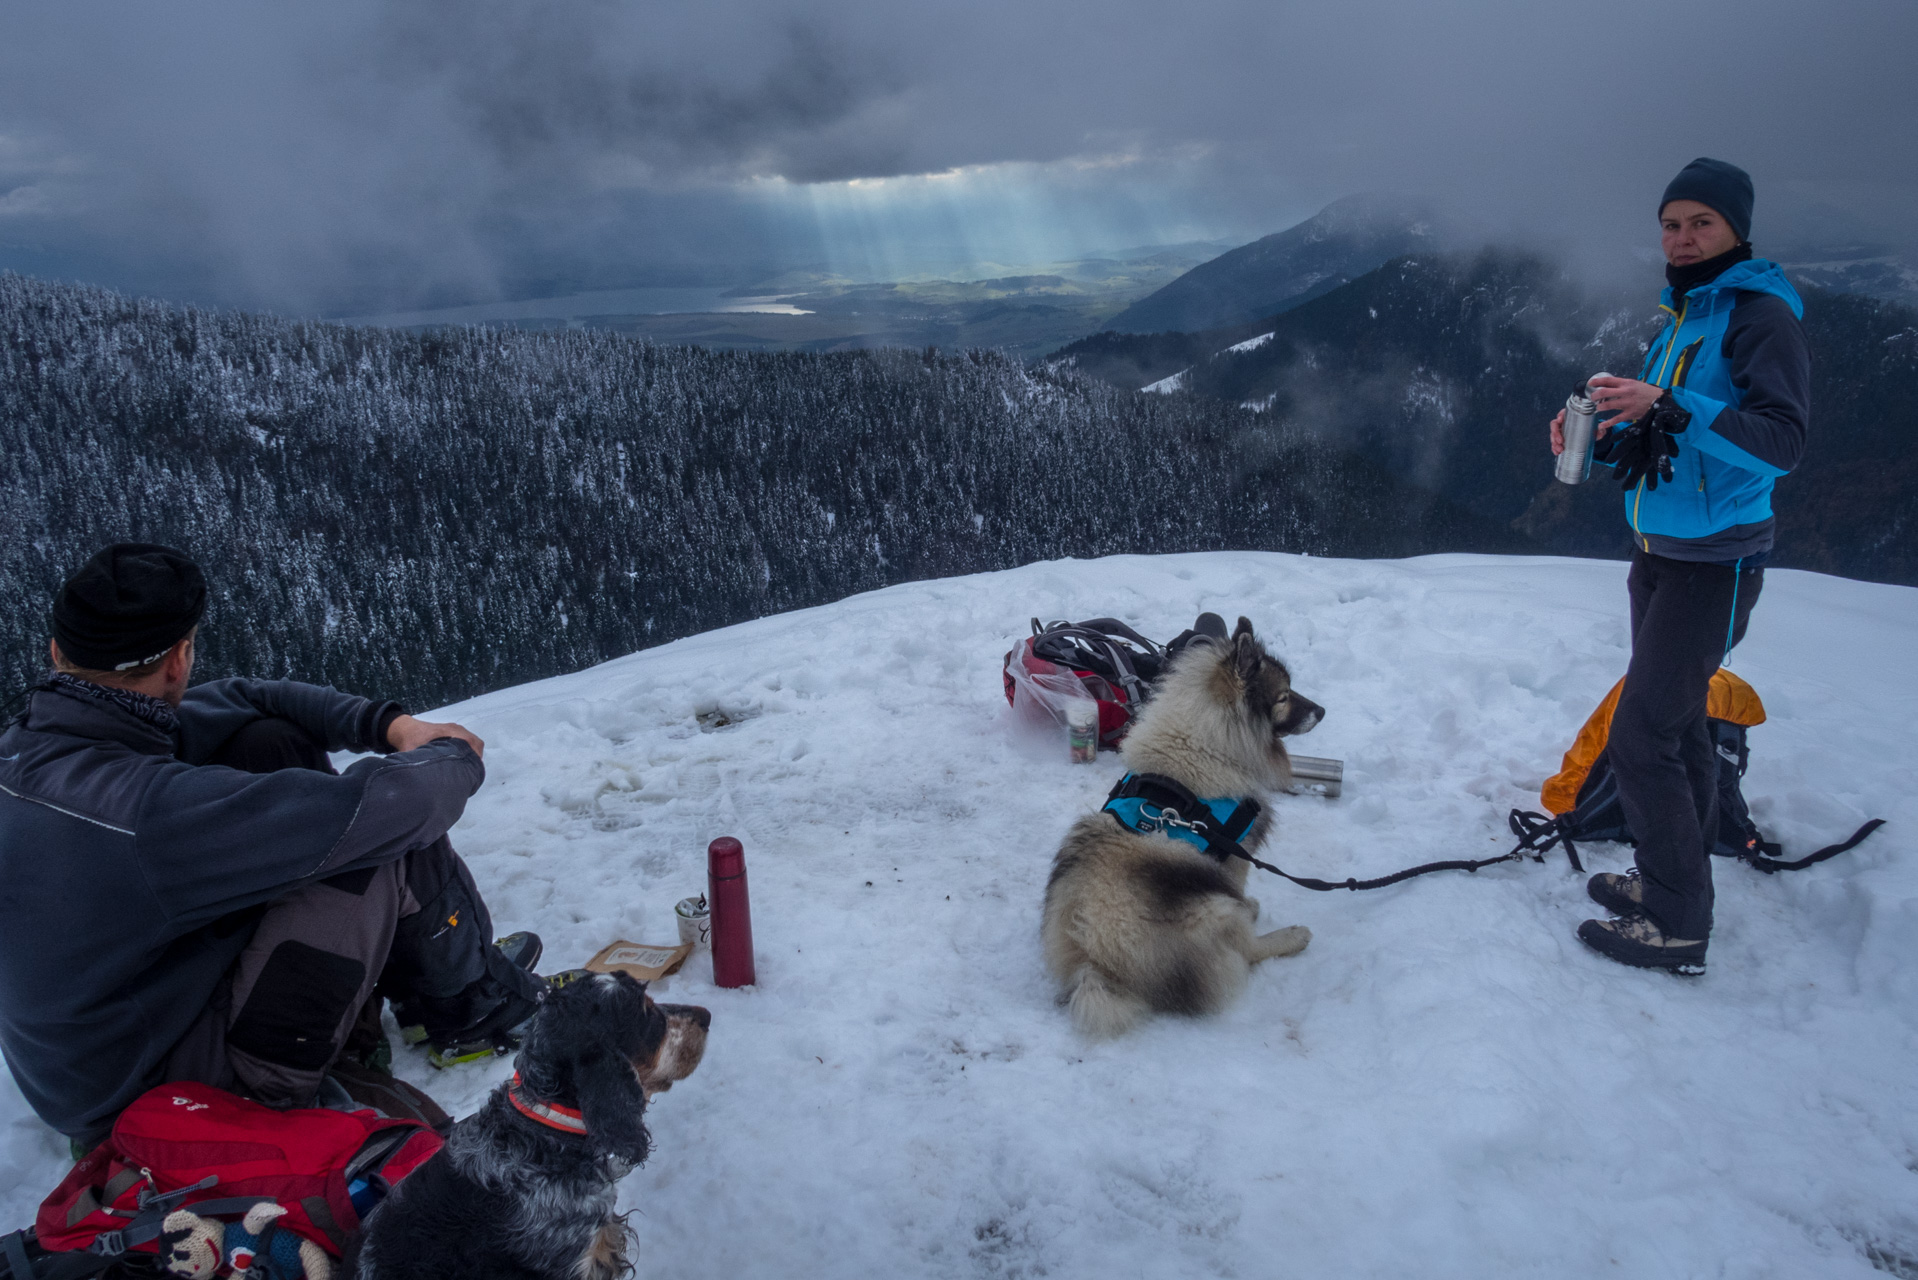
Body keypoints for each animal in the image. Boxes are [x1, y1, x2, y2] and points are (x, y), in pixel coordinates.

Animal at [1043, 614, 1327, 1036]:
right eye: (1283, 697)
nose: (1322, 711)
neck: (1204, 742)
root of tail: (1097, 963)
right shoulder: (1234, 855)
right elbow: (1240, 894)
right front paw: (1252, 907)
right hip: (1213, 908)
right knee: (1246, 949)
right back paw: (1289, 935)